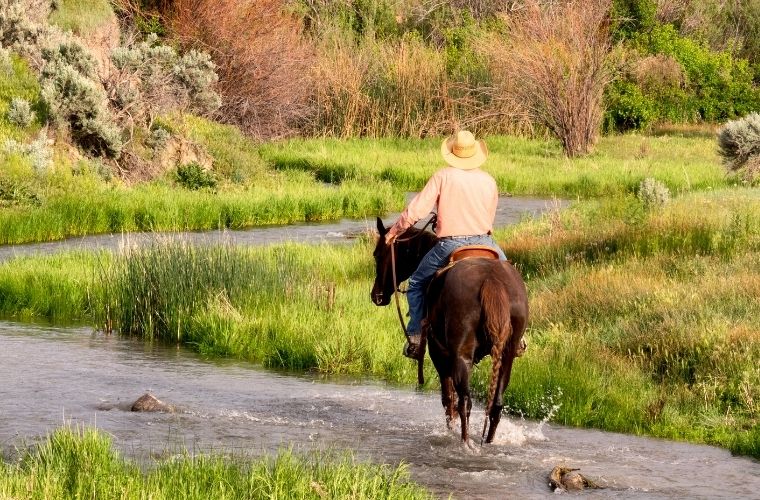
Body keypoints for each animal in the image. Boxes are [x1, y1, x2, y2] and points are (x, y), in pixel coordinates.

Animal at [370, 217, 528, 444]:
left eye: (377, 254)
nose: (377, 296)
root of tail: (491, 281)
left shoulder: (439, 353)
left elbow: (448, 399)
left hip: (461, 355)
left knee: (464, 402)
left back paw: (465, 442)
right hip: (507, 355)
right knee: (496, 404)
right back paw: (487, 442)